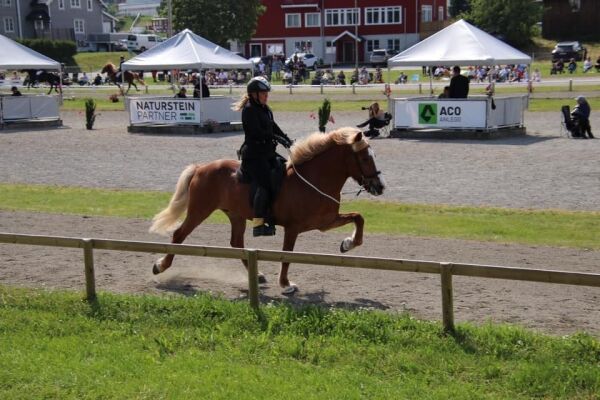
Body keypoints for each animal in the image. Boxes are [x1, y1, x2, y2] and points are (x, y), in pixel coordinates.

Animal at [149, 128, 384, 294]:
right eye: (365, 158)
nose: (380, 187)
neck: (313, 179)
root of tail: (201, 168)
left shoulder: (326, 222)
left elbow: (358, 218)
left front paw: (348, 244)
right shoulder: (293, 228)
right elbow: (287, 255)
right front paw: (286, 284)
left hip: (235, 215)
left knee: (236, 243)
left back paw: (258, 275)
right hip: (200, 211)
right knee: (179, 235)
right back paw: (160, 266)